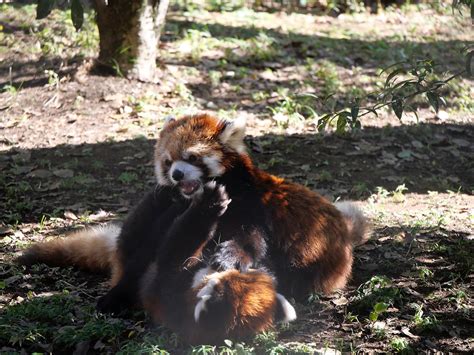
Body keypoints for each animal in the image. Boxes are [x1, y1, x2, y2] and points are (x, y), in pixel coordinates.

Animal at [17, 112, 366, 344]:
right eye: (168, 161)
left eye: (192, 157)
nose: (176, 176)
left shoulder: (250, 205)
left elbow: (251, 239)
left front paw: (230, 256)